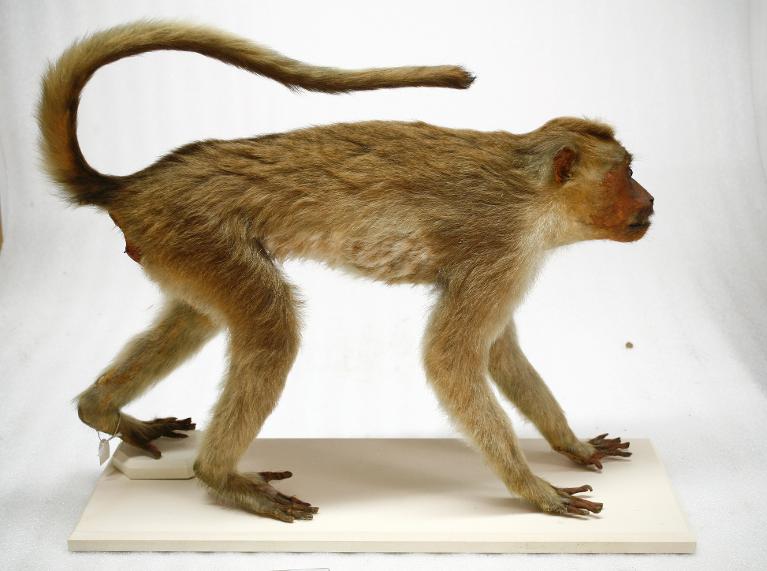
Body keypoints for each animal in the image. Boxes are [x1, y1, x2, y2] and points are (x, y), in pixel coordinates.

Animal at [39, 21, 652, 522]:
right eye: (624, 172)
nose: (649, 201)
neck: (534, 195)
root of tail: (138, 185)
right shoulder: (504, 251)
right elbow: (450, 358)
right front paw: (532, 489)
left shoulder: (512, 260)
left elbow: (498, 354)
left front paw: (571, 446)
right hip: (195, 230)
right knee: (271, 327)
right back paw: (219, 478)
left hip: (172, 246)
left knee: (198, 317)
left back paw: (102, 410)